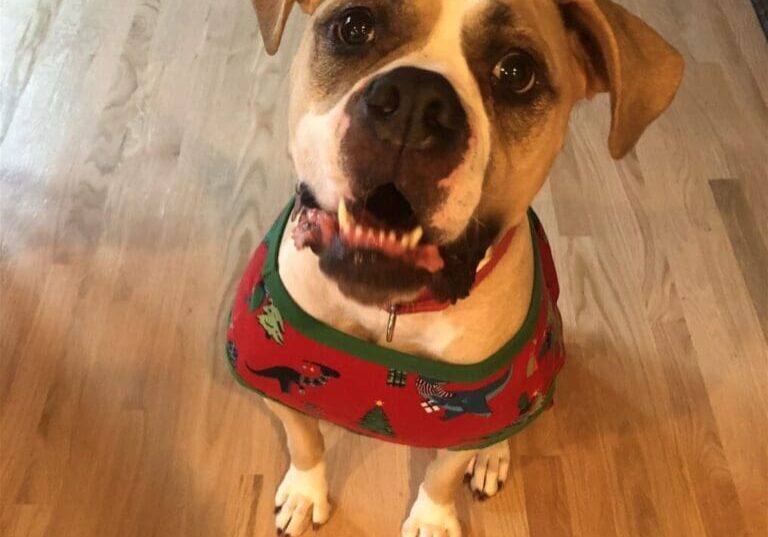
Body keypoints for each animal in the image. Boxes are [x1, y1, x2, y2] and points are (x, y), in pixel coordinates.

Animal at [225, 2, 680, 532]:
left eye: (516, 72)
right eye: (354, 26)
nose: (414, 102)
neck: (391, 310)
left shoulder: (469, 415)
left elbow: (443, 472)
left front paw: (431, 520)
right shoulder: (276, 379)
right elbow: (304, 438)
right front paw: (304, 491)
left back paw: (493, 455)